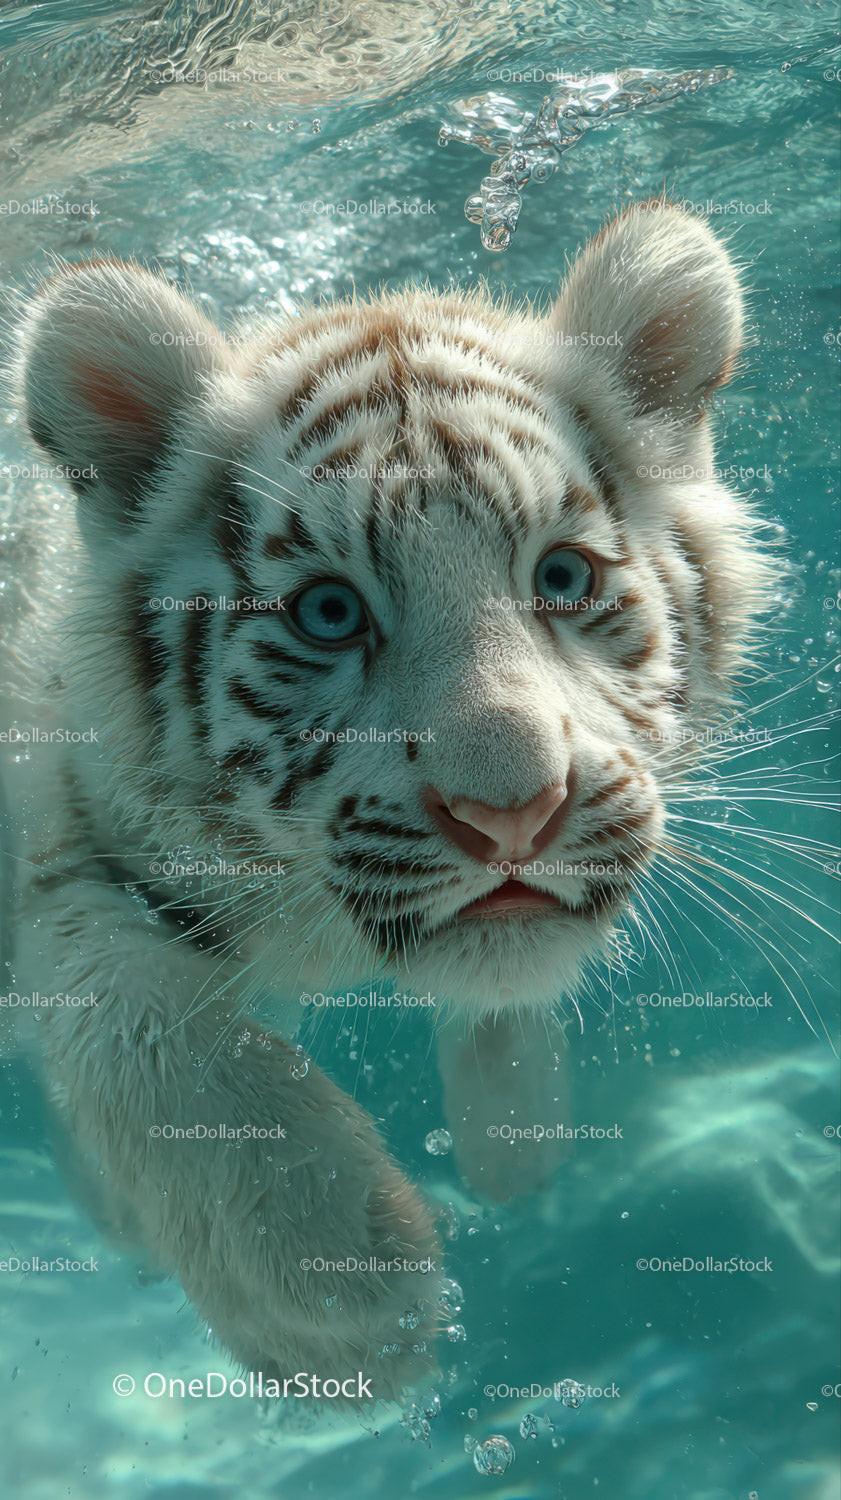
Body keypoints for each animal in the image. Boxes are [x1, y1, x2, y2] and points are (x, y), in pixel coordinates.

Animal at [0, 200, 768, 1400]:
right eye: (327, 613)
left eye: (564, 578)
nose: (513, 813)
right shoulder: (58, 846)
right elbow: (130, 1013)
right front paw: (339, 1297)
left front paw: (513, 1149)